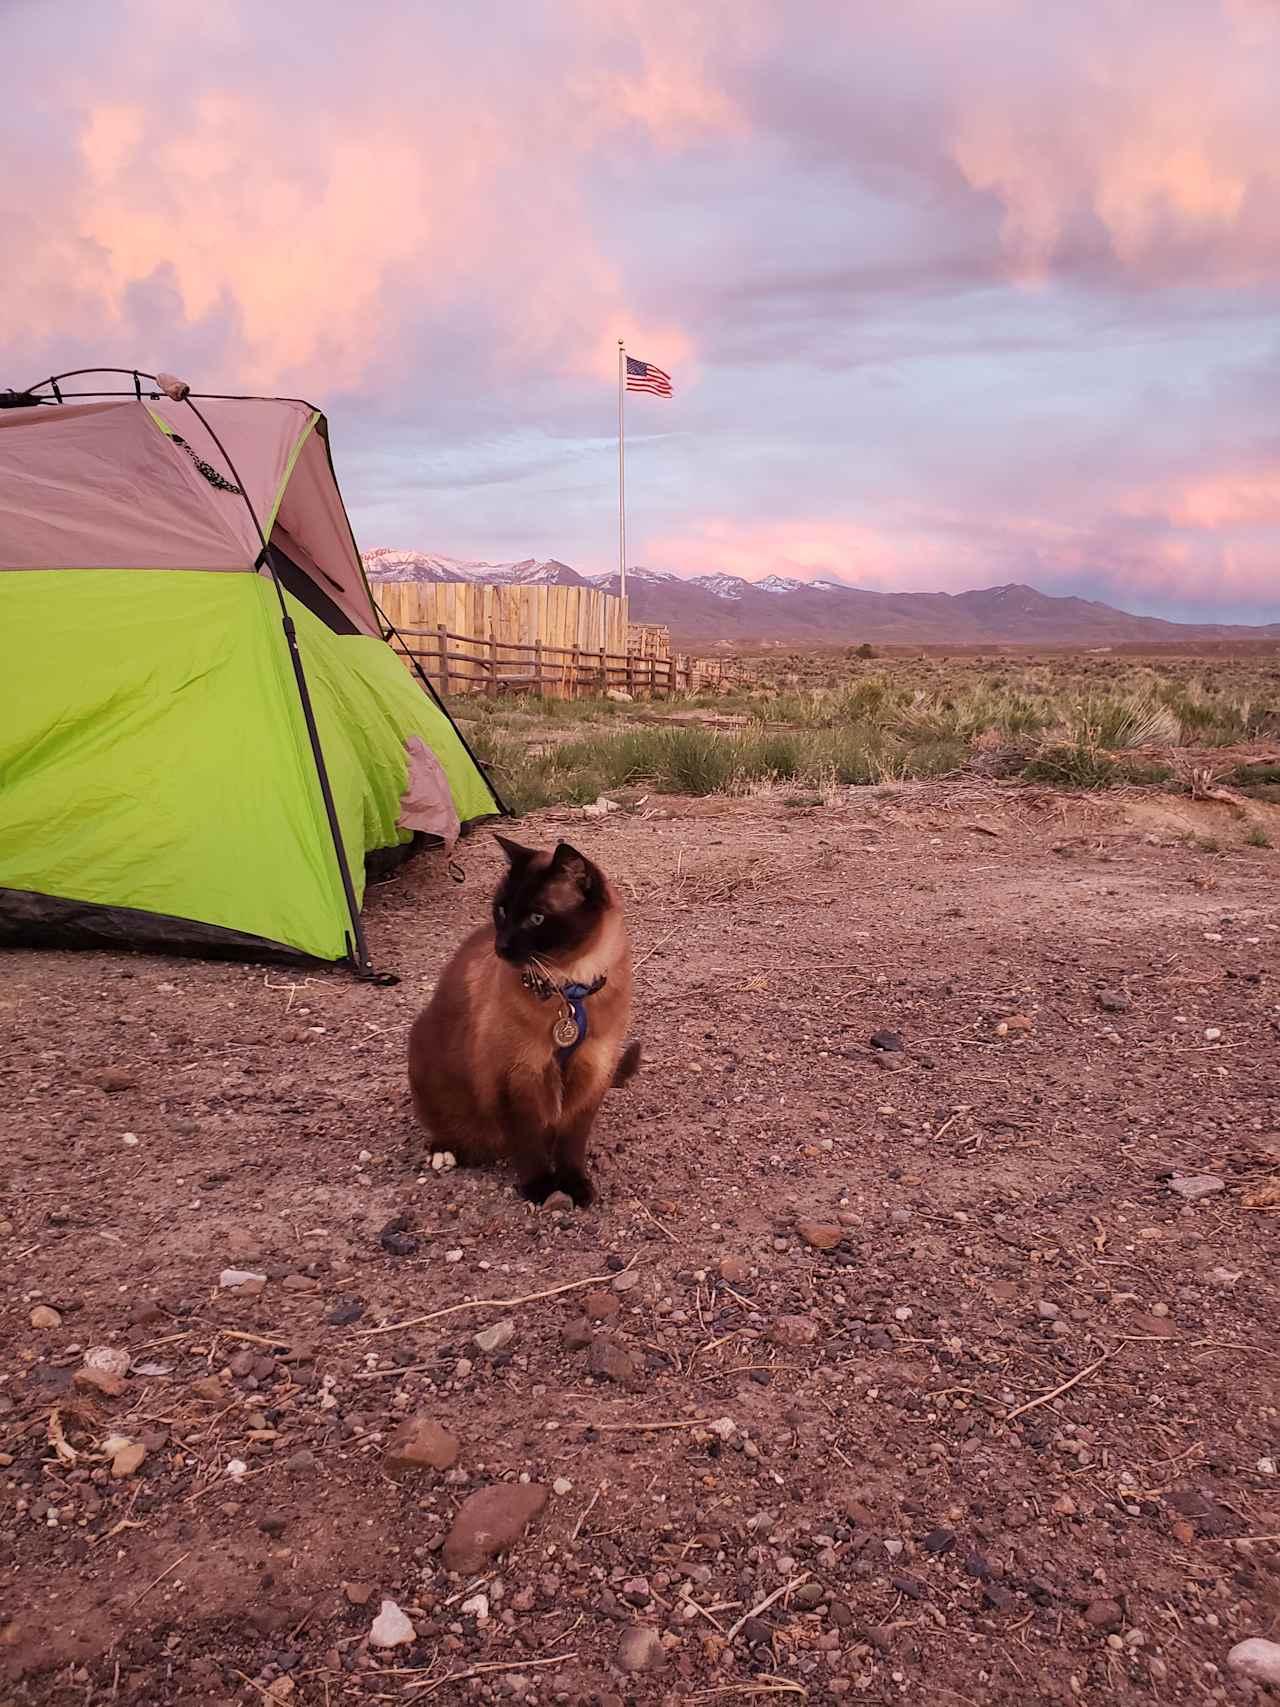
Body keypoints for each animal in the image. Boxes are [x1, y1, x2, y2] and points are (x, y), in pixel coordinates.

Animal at [411, 836, 641, 1208]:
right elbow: (528, 1143)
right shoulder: (517, 1077)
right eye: (502, 911)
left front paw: (574, 1186)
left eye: (536, 918)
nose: (501, 945)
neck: (570, 990)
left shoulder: (592, 1072)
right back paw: (446, 1152)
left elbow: (571, 1143)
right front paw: (540, 1189)